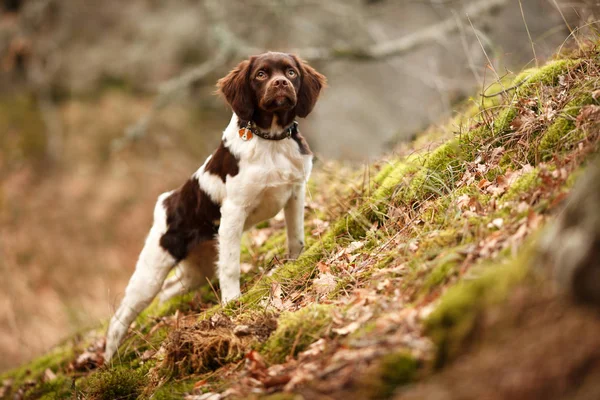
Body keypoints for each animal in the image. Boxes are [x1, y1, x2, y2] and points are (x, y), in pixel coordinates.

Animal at [105, 52, 326, 362]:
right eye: (260, 74)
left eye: (291, 72)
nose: (281, 83)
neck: (270, 139)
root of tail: (167, 201)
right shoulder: (233, 211)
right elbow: (231, 266)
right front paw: (232, 303)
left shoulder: (296, 191)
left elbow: (296, 239)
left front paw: (294, 265)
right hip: (151, 272)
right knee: (121, 316)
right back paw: (108, 359)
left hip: (199, 269)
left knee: (171, 289)